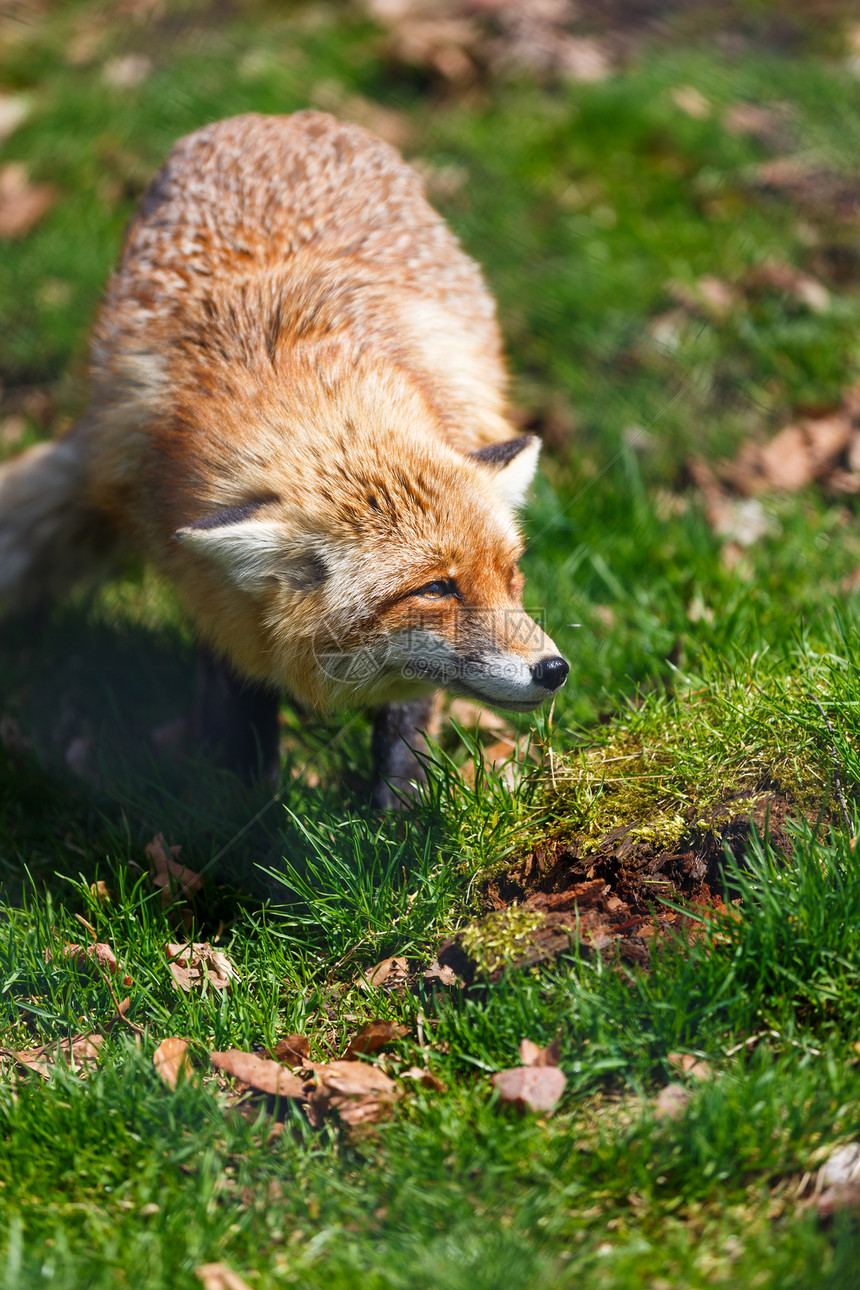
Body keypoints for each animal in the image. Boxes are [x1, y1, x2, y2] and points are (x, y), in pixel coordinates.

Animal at [0, 110, 567, 799]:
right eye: (436, 588)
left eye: (510, 574)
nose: (554, 669)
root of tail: (273, 119)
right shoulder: (203, 578)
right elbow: (234, 694)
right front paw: (247, 800)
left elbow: (405, 716)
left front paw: (399, 808)